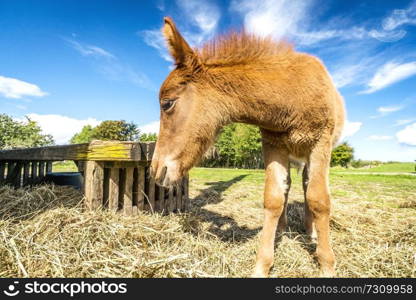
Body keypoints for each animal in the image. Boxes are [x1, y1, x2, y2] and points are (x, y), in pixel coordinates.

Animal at [151, 18, 346, 276]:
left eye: (167, 104)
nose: (156, 171)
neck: (293, 96)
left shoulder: (320, 144)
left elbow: (319, 200)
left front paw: (326, 264)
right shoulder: (273, 144)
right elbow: (273, 198)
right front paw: (262, 265)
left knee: (307, 186)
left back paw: (311, 232)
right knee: (288, 188)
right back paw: (283, 229)